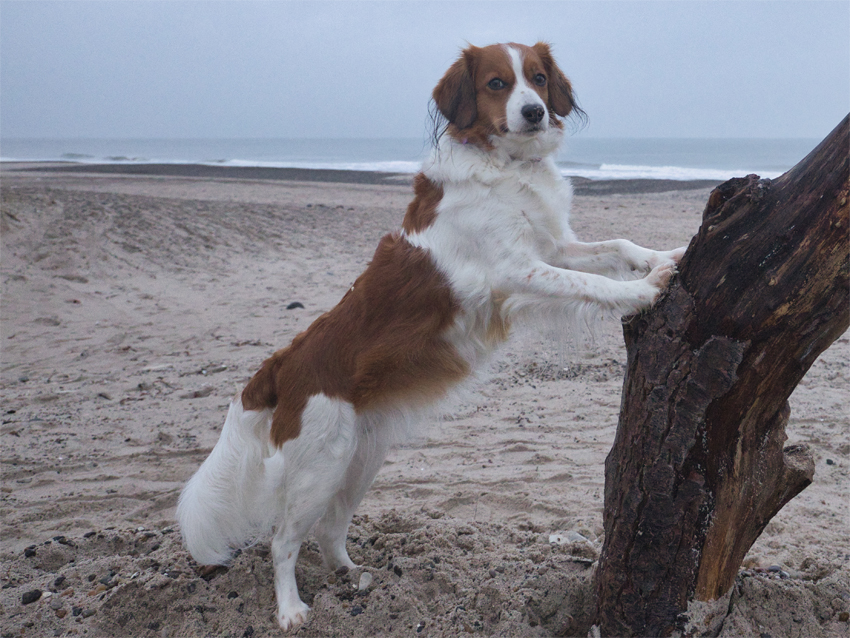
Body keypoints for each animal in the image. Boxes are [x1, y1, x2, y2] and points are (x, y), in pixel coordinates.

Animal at [176, 41, 684, 636]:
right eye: (496, 83)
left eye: (538, 78)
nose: (534, 111)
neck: (507, 165)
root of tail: (283, 363)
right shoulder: (516, 271)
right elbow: (595, 283)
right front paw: (644, 290)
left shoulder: (552, 248)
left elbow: (616, 245)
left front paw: (665, 255)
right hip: (317, 468)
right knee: (281, 542)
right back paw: (291, 609)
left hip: (359, 459)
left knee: (329, 528)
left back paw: (351, 573)